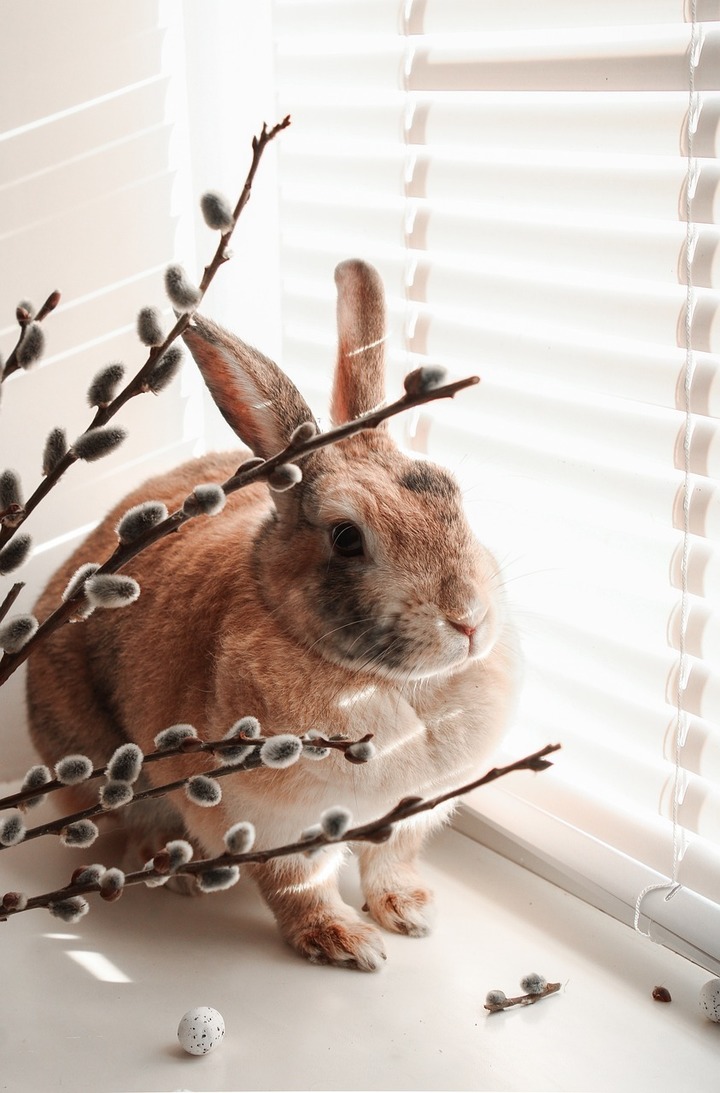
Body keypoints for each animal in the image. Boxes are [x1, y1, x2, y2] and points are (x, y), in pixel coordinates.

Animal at [23, 260, 517, 970]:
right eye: (346, 538)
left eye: (449, 492)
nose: (470, 620)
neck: (392, 685)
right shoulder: (269, 823)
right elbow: (297, 886)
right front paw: (348, 944)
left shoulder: (407, 818)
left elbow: (389, 863)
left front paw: (410, 914)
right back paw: (170, 868)